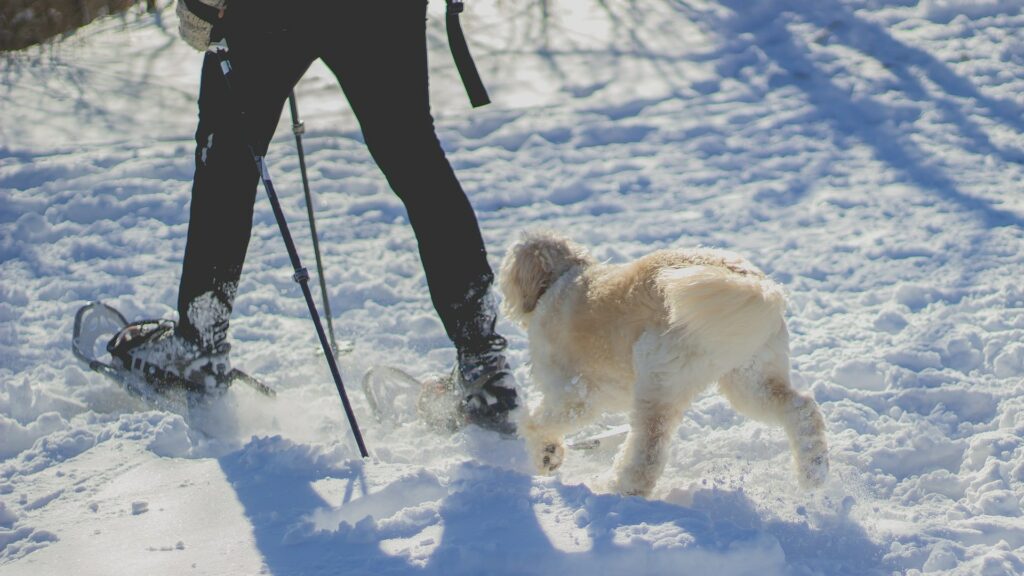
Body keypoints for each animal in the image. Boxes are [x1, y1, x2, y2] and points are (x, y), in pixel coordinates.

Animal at [499, 230, 827, 496]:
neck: (562, 278)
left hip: (657, 380)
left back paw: (619, 488)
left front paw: (545, 453)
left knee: (648, 451)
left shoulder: (574, 395)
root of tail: (754, 284)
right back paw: (813, 472)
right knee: (801, 410)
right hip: (750, 378)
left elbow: (536, 423)